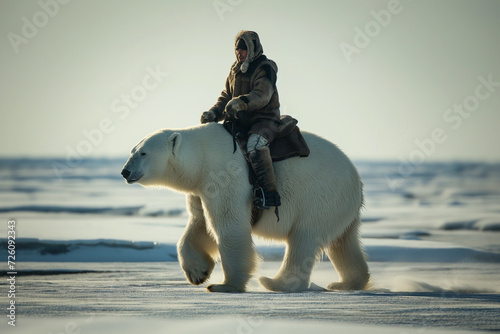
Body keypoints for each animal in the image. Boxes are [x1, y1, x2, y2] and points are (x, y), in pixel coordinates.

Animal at [121, 122, 372, 292]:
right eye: (132, 150)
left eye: (143, 152)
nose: (125, 171)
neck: (201, 157)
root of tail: (356, 180)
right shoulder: (201, 188)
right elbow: (199, 224)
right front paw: (198, 272)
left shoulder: (225, 175)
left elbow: (228, 225)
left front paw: (225, 285)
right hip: (340, 206)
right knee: (343, 243)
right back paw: (346, 282)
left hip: (320, 196)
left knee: (304, 240)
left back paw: (275, 282)